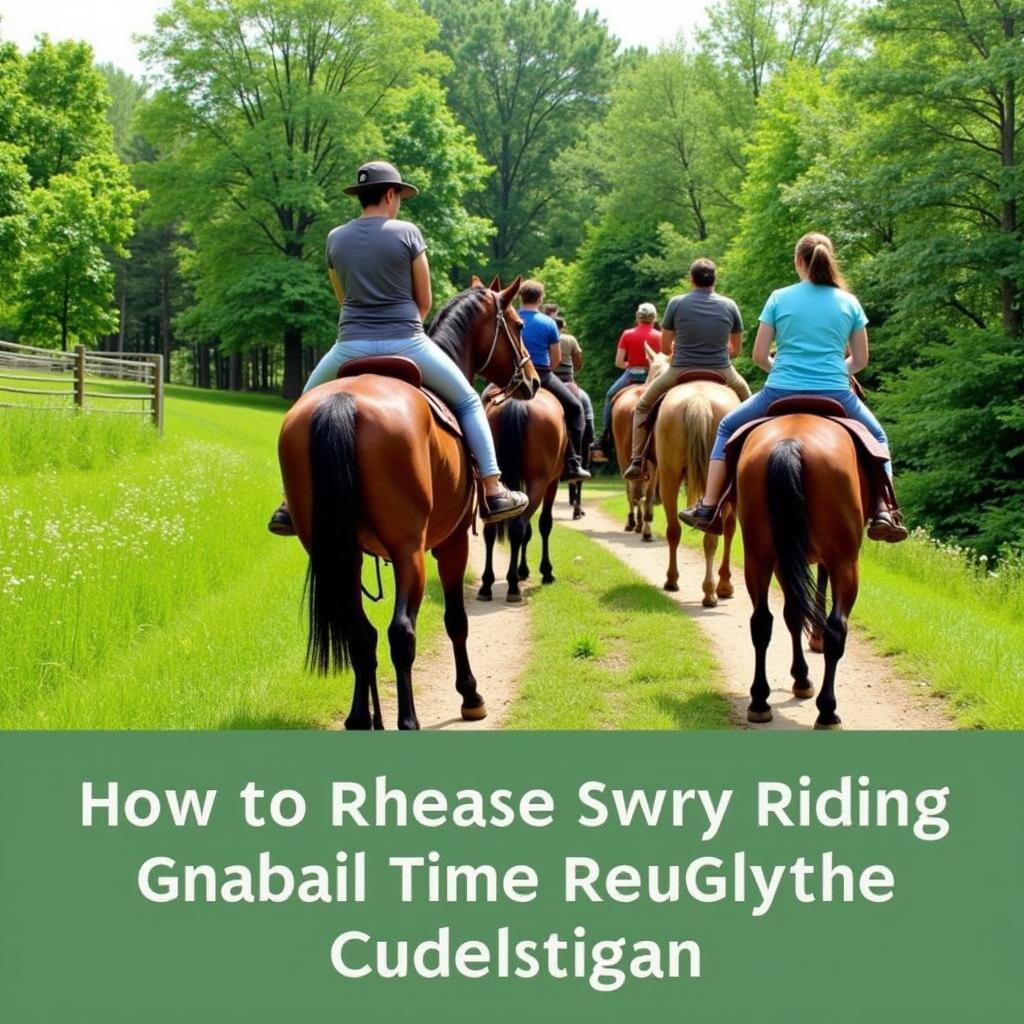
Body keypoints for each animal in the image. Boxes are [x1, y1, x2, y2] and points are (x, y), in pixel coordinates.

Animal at [276, 278, 540, 729]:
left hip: (338, 553)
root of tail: (344, 401)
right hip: (408, 551)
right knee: (401, 632)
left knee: (360, 632)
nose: (534, 381)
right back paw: (407, 720)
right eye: (519, 325)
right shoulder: (453, 543)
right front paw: (471, 695)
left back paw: (361, 719)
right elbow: (456, 621)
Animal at [477, 387, 569, 602]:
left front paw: (523, 570)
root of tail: (517, 402)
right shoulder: (551, 482)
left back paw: (486, 585)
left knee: (490, 530)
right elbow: (544, 524)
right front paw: (545, 571)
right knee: (518, 527)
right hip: (540, 482)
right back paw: (512, 586)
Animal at [647, 352, 745, 606]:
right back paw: (711, 591)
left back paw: (673, 580)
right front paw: (725, 584)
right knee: (711, 535)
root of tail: (699, 400)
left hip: (669, 476)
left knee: (674, 530)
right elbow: (729, 529)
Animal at [737, 411, 872, 733]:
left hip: (759, 556)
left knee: (761, 622)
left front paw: (800, 676)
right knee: (837, 628)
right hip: (845, 562)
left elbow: (793, 614)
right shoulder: (827, 559)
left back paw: (759, 701)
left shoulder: (786, 560)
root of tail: (791, 442)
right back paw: (827, 711)